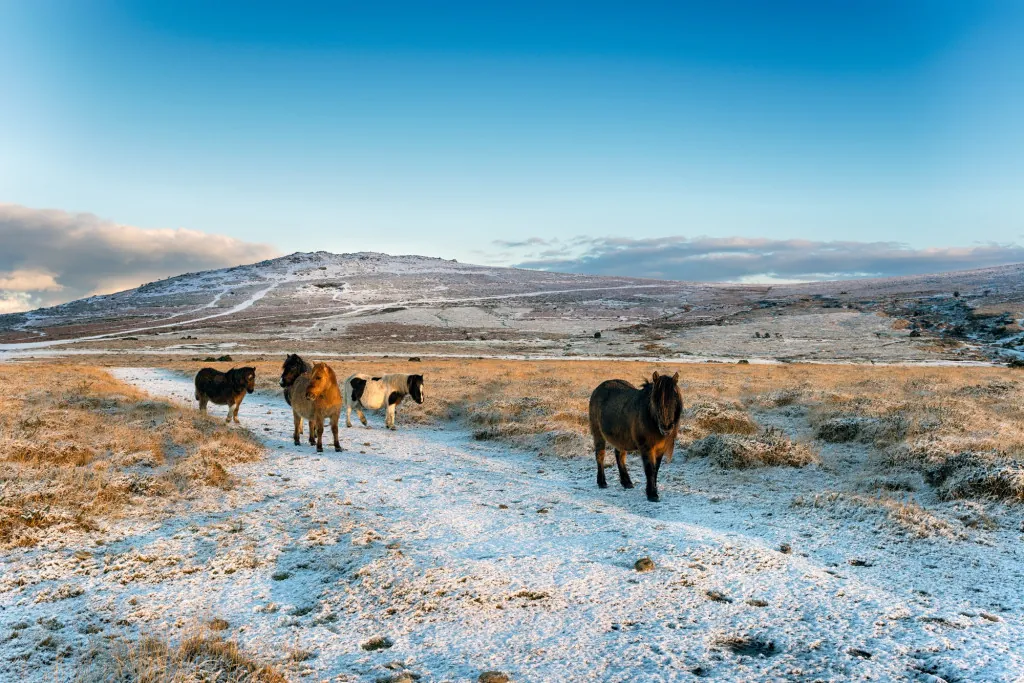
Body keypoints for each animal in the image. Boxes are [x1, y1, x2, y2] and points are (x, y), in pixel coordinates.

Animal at [589, 371, 682, 502]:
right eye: (655, 399)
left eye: (674, 397)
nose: (666, 427)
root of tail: (598, 388)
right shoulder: (646, 448)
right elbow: (650, 469)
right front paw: (652, 494)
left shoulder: (660, 450)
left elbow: (656, 469)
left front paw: (653, 490)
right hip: (598, 434)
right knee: (600, 455)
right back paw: (602, 482)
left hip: (620, 438)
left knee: (620, 456)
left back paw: (626, 482)